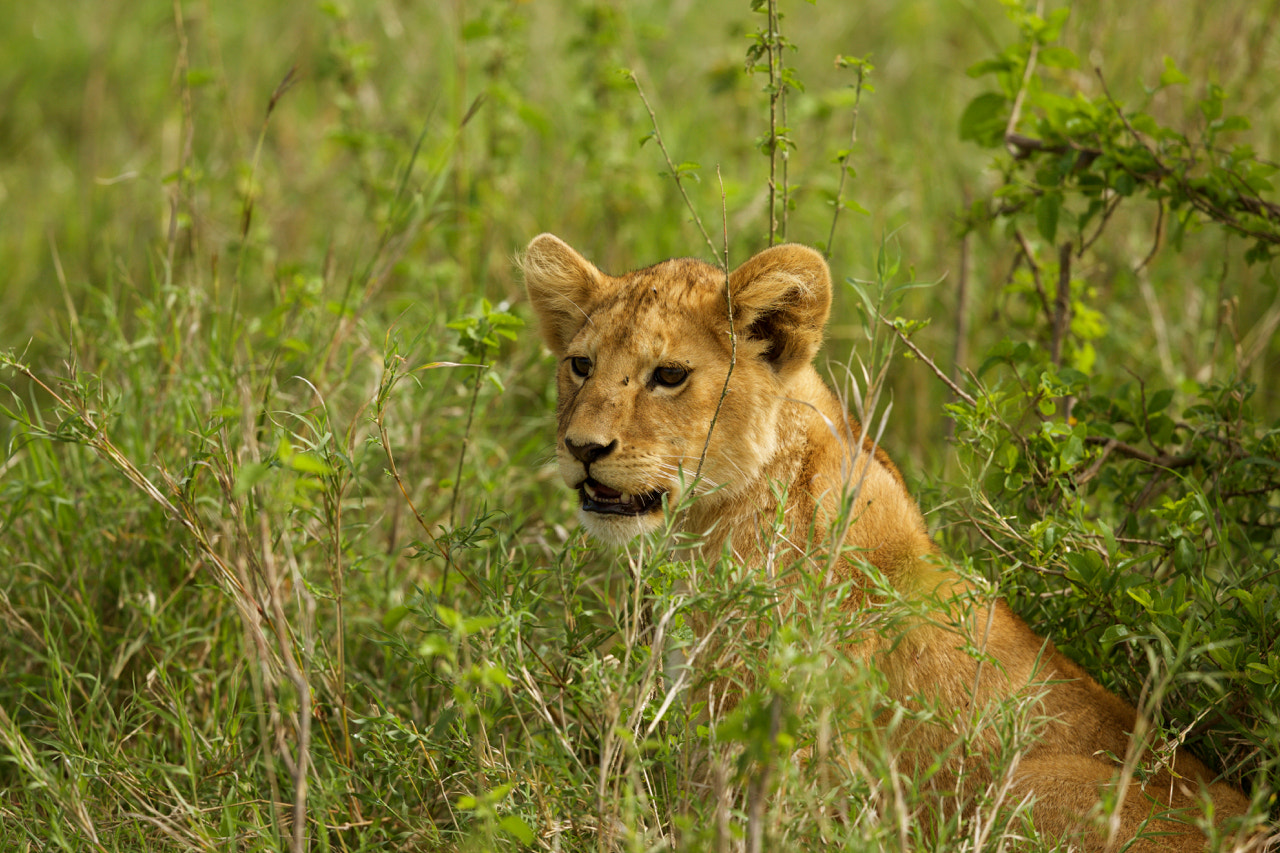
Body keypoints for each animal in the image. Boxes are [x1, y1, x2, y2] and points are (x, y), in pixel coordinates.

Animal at [521, 233, 1257, 851]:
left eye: (670, 375)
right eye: (580, 365)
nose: (582, 449)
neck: (719, 521)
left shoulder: (782, 761)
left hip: (1026, 786)